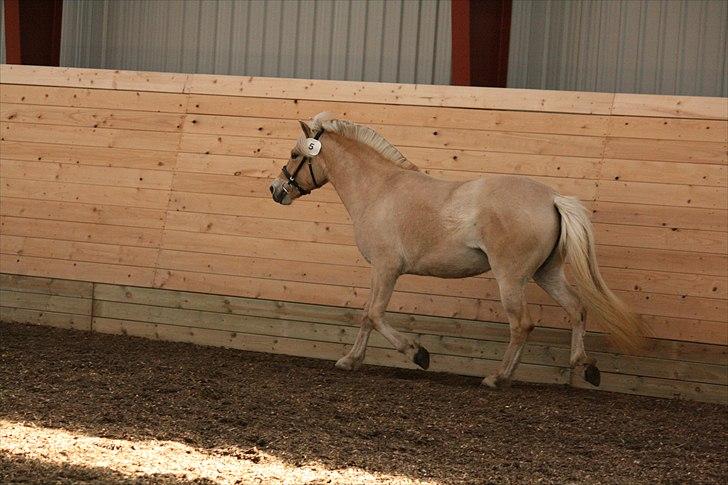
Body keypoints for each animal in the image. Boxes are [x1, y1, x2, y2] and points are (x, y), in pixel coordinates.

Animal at [270, 111, 644, 388]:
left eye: (294, 154)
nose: (275, 190)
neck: (380, 190)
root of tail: (553, 198)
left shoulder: (386, 268)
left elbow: (374, 314)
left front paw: (418, 354)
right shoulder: (380, 270)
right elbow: (365, 315)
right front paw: (350, 361)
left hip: (511, 278)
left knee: (522, 324)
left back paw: (497, 378)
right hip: (546, 273)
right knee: (577, 308)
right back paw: (586, 367)